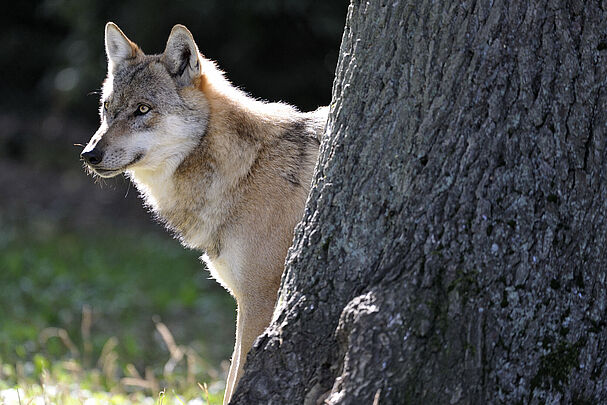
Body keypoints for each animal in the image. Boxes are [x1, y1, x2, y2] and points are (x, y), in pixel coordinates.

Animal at [81, 23, 328, 402]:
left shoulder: (258, 302)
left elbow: (236, 380)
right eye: (107, 108)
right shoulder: (246, 301)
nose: (89, 154)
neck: (247, 168)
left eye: (142, 109)